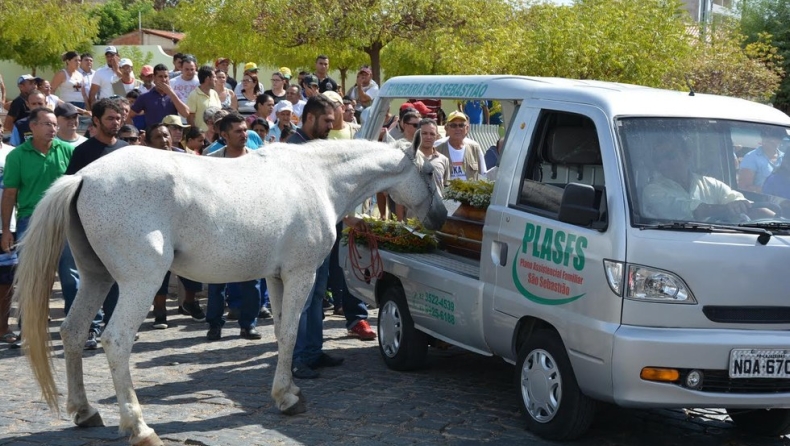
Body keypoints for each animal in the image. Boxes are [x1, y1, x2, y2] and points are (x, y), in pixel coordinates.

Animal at [13, 139, 446, 446]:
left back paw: (84, 412)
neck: (316, 179)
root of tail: (83, 177)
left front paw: (288, 390)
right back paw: (139, 427)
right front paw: (288, 399)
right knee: (115, 341)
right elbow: (292, 333)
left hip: (96, 278)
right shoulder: (301, 274)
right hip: (139, 283)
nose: (441, 216)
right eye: (428, 171)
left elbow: (280, 333)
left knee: (73, 333)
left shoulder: (276, 277)